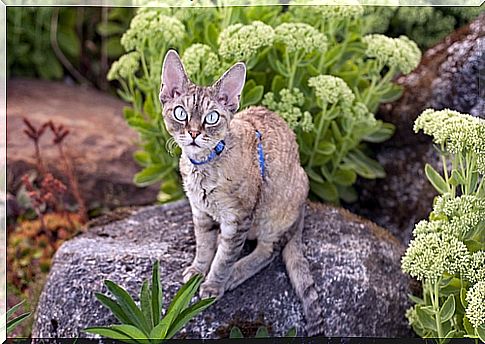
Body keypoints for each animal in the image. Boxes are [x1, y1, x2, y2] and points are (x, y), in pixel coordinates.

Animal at [161, 49, 324, 334]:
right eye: (180, 113)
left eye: (211, 117)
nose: (193, 133)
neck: (204, 167)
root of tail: (303, 207)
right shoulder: (199, 212)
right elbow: (204, 246)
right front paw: (197, 271)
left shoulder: (238, 218)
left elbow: (224, 258)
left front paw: (214, 284)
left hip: (274, 215)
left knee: (267, 252)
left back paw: (235, 274)